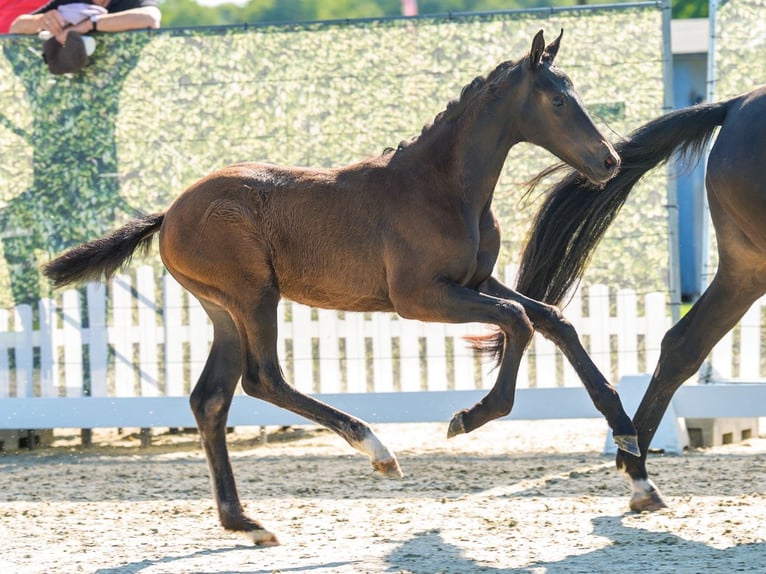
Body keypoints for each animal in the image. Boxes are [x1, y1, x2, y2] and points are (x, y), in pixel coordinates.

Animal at [42, 30, 634, 545]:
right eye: (557, 100)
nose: (609, 160)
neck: (442, 187)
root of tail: (169, 213)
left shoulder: (475, 280)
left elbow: (552, 318)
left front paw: (627, 438)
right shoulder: (419, 298)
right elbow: (518, 320)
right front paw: (469, 418)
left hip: (222, 311)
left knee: (210, 398)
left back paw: (245, 523)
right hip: (254, 297)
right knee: (263, 379)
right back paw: (376, 449)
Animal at [514, 85, 766, 512]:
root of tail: (736, 106)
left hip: (747, 269)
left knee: (682, 345)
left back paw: (638, 473)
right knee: (684, 344)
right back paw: (638, 474)